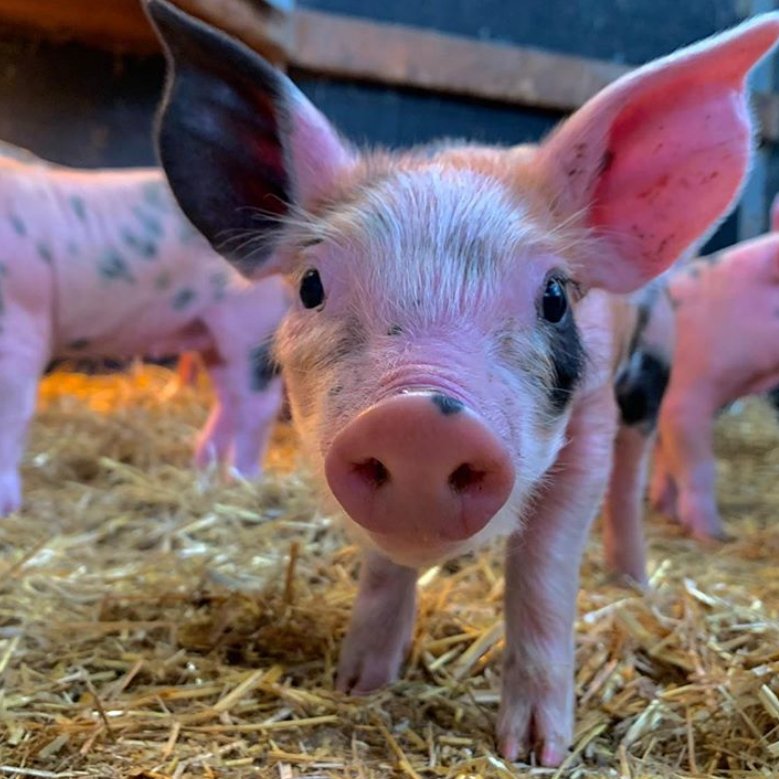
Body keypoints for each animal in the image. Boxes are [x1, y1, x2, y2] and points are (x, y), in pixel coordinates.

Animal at [0, 143, 288, 516]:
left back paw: (241, 482)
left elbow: (12, 410)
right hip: (214, 336)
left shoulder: (21, 322)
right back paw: (201, 469)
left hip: (252, 322)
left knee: (257, 404)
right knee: (231, 400)